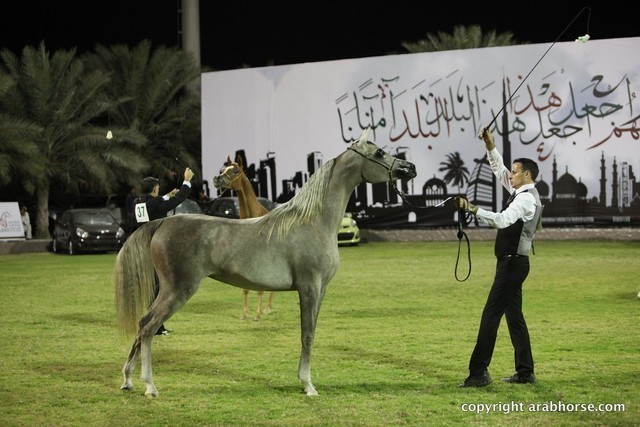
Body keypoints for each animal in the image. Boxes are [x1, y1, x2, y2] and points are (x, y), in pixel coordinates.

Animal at [212, 155, 276, 321]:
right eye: (223, 169)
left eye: (236, 171)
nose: (217, 179)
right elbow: (244, 288)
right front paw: (245, 313)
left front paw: (258, 315)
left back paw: (268, 308)